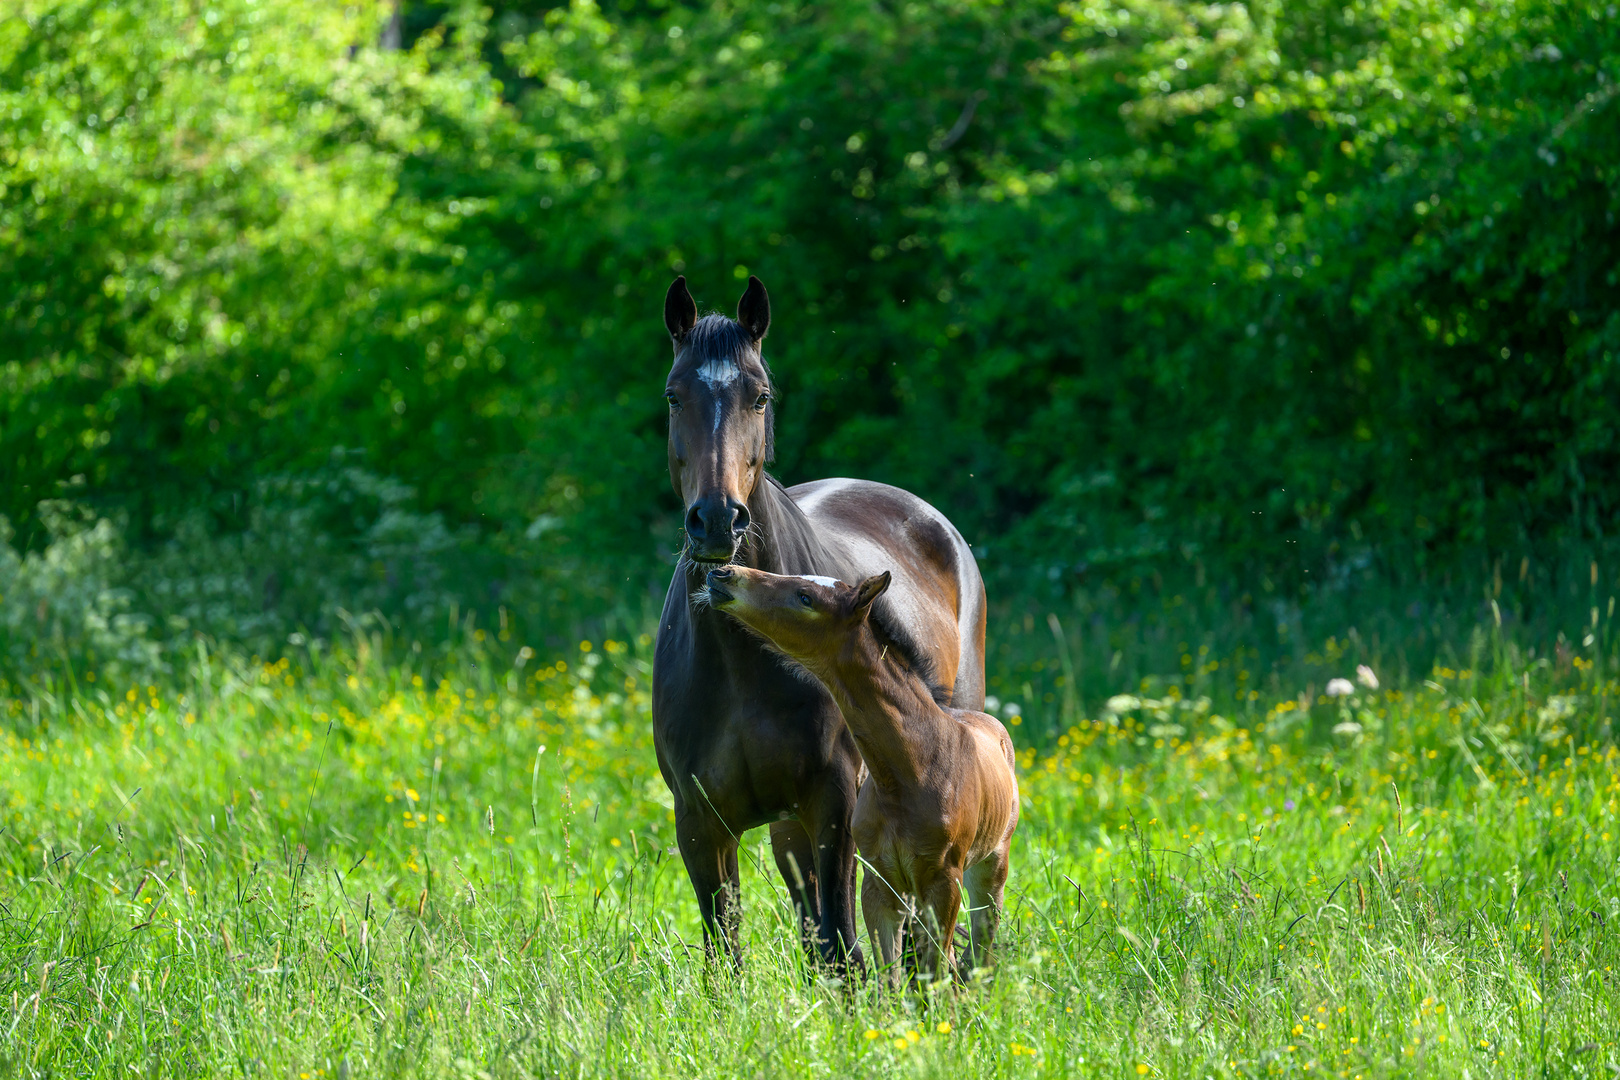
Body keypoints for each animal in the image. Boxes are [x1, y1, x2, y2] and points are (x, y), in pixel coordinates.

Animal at [648, 272, 984, 971]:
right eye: (673, 395)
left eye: (759, 396)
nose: (716, 521)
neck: (738, 668)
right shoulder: (699, 823)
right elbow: (725, 953)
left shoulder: (832, 807)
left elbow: (840, 947)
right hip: (785, 830)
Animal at [703, 566, 1017, 990]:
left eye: (805, 597)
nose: (724, 573)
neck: (909, 772)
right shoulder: (879, 884)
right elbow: (891, 979)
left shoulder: (944, 882)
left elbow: (935, 971)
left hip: (989, 866)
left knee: (981, 945)